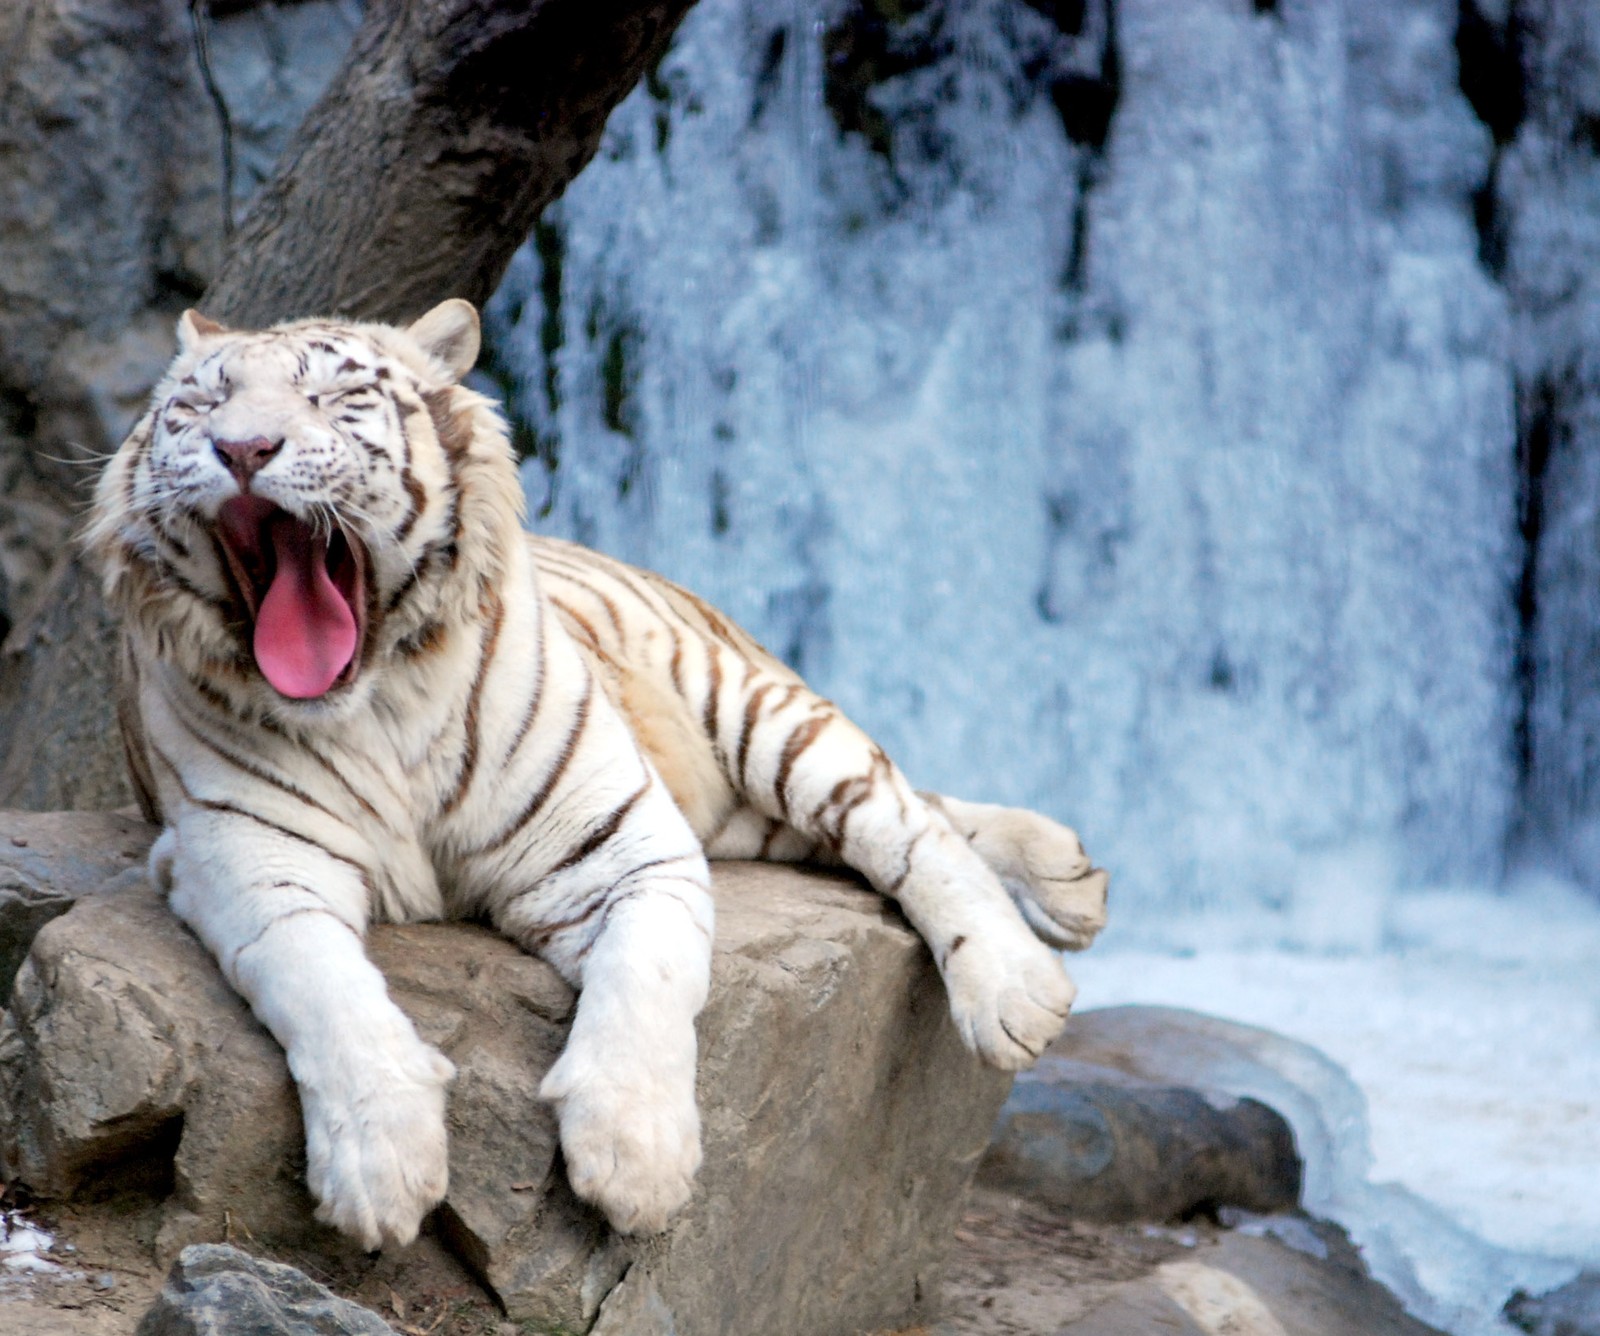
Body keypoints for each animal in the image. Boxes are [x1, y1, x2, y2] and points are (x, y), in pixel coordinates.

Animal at [84, 302, 1113, 1254]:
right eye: (200, 404)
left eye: (333, 397)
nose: (242, 447)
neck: (374, 702)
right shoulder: (249, 861)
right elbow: (324, 989)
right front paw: (381, 1168)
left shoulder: (621, 842)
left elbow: (648, 977)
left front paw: (635, 1160)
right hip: (746, 814)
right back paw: (1070, 873)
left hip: (754, 712)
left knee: (902, 817)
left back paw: (1021, 980)